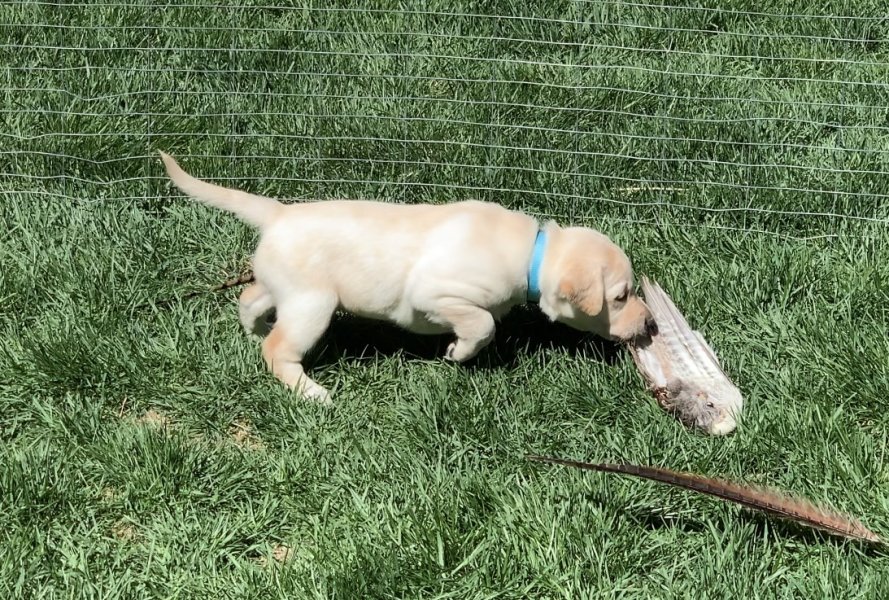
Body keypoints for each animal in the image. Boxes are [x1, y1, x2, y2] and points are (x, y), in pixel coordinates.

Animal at [161, 152, 652, 400]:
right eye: (621, 296)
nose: (650, 324)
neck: (531, 251)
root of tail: (277, 214)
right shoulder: (436, 294)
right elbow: (483, 324)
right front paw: (457, 353)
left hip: (281, 284)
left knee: (249, 300)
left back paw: (252, 330)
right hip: (311, 305)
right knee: (278, 349)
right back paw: (311, 391)